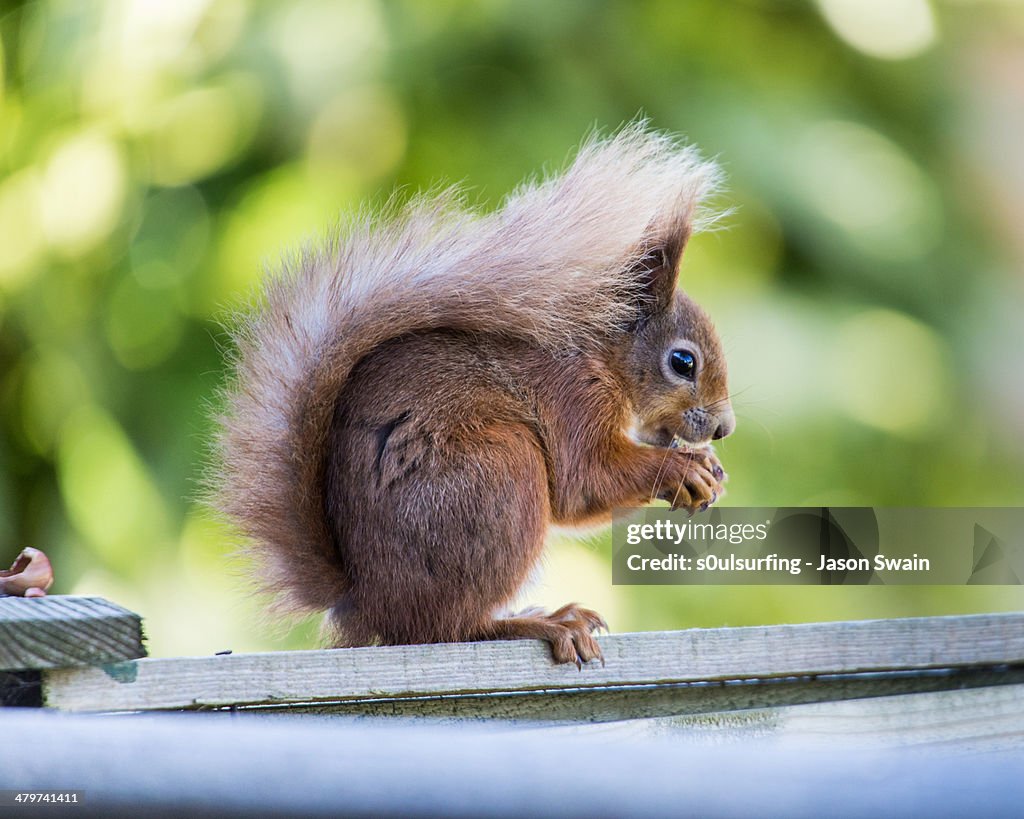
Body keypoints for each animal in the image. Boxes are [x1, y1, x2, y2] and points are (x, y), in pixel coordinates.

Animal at [214, 123, 737, 663]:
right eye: (683, 362)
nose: (724, 428)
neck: (600, 355)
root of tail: (368, 601)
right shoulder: (574, 398)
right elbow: (585, 482)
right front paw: (682, 469)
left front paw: (709, 467)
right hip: (500, 476)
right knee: (450, 627)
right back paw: (544, 623)